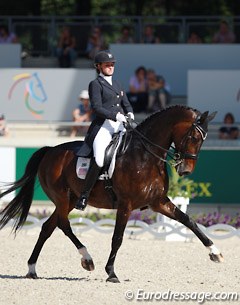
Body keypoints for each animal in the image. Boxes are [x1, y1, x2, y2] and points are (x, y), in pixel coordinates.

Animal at [0, 105, 223, 282]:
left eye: (202, 141)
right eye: (193, 137)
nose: (185, 170)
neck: (146, 155)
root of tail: (50, 150)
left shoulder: (158, 201)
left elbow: (188, 220)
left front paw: (215, 252)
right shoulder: (126, 204)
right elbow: (117, 237)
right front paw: (111, 273)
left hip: (71, 199)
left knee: (48, 227)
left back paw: (32, 269)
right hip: (63, 198)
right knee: (63, 224)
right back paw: (87, 259)